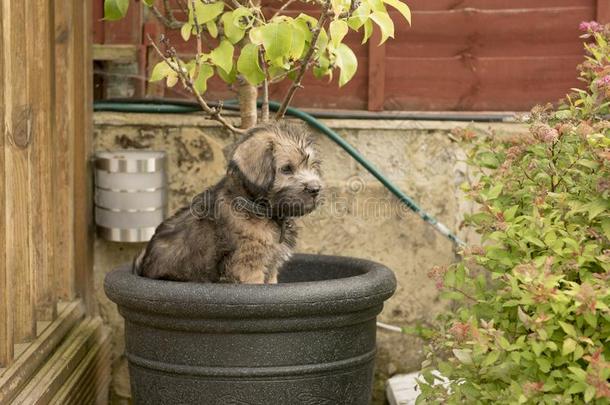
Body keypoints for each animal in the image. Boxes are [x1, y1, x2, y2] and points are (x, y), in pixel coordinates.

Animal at [134, 121, 324, 282]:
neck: (257, 208)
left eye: (312, 166)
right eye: (287, 169)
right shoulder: (249, 267)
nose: (316, 189)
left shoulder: (270, 269)